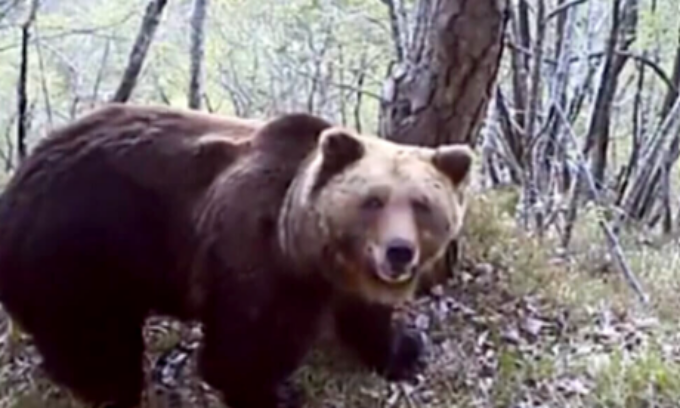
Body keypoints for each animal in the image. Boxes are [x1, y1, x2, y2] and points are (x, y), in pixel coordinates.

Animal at [0, 103, 474, 408]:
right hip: (82, 249)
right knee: (96, 338)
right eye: (373, 201)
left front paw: (404, 350)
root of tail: (17, 184)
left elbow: (366, 318)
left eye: (421, 204)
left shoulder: (344, 279)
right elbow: (245, 343)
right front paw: (273, 392)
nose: (399, 252)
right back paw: (109, 387)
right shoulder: (253, 255)